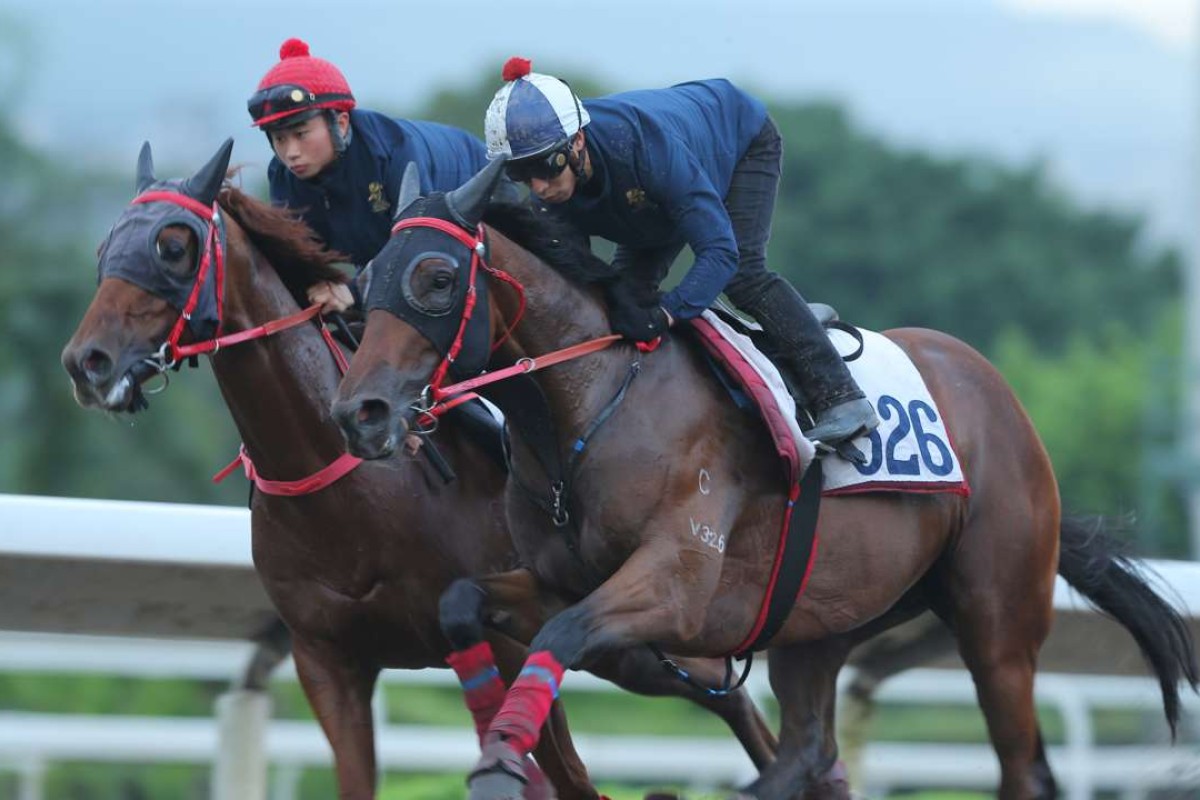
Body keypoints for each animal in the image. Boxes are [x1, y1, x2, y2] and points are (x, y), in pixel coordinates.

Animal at [60, 142, 782, 800]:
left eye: (172, 246)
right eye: (102, 250)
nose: (86, 361)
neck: (341, 488)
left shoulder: (509, 645)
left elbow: (565, 775)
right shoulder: (328, 662)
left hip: (661, 635)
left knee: (737, 703)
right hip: (633, 653)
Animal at [331, 159, 1200, 796]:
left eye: (437, 277)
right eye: (367, 278)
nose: (359, 412)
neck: (590, 403)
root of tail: (997, 393)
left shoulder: (677, 585)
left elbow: (560, 636)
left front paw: (504, 762)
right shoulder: (559, 580)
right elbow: (462, 602)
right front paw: (501, 747)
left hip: (999, 625)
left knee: (1023, 768)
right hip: (822, 619)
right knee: (807, 751)